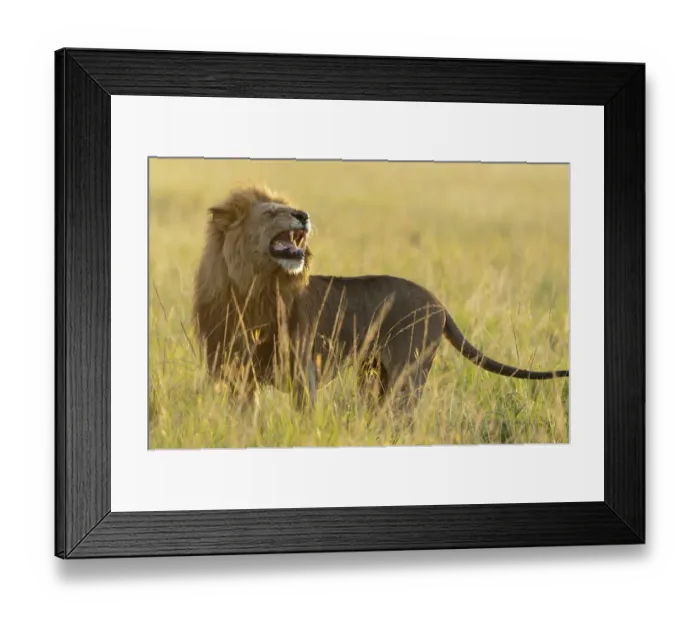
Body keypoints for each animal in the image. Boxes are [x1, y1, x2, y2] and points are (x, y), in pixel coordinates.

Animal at [193, 186, 569, 412]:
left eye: (289, 208)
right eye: (271, 212)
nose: (303, 215)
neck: (251, 289)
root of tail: (439, 303)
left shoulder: (303, 372)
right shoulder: (236, 373)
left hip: (408, 372)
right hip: (376, 373)